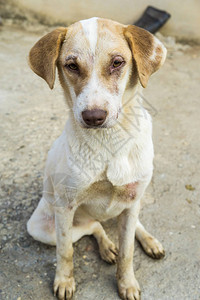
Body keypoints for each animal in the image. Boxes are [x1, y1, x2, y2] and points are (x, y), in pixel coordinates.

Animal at [27, 17, 167, 298]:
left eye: (117, 62)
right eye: (71, 65)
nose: (93, 117)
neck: (109, 143)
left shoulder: (132, 199)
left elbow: (127, 252)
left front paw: (127, 283)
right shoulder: (65, 206)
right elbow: (66, 251)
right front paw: (64, 281)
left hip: (132, 204)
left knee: (131, 224)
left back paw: (149, 241)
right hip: (41, 227)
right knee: (93, 227)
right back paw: (106, 246)